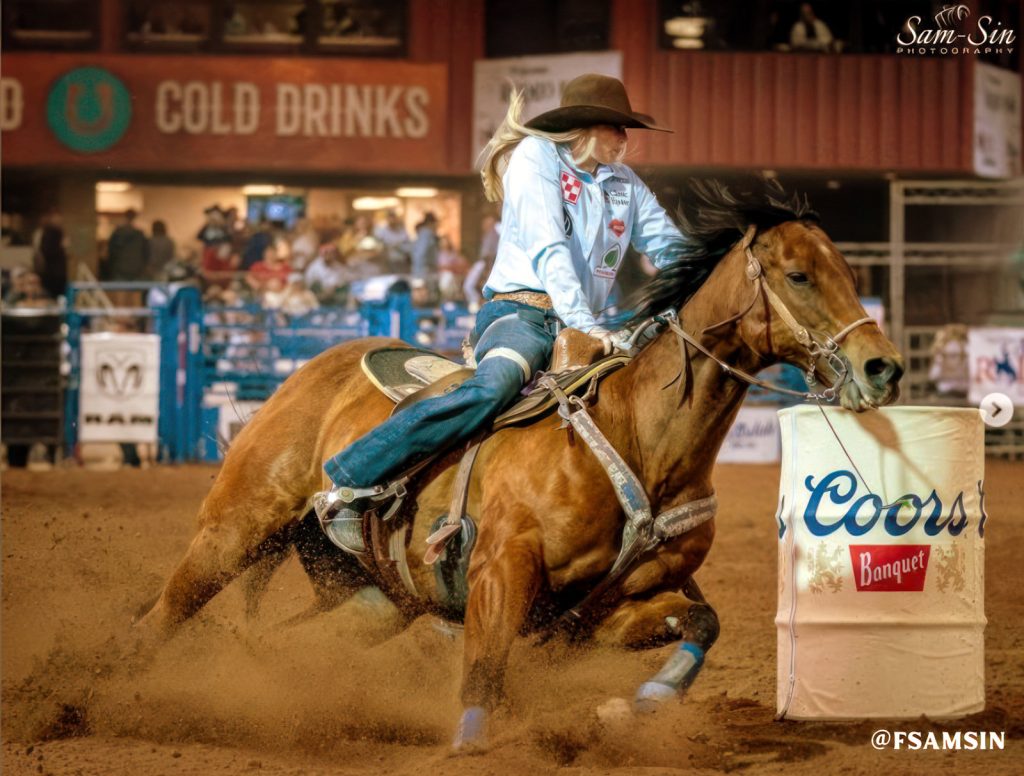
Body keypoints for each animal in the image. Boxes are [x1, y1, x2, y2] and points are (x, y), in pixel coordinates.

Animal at [138, 181, 905, 749]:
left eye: (850, 272)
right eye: (799, 275)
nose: (884, 367)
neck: (641, 441)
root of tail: (310, 370)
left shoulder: (596, 612)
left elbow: (702, 624)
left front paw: (634, 706)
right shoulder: (501, 570)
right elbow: (483, 676)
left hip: (372, 600)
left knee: (280, 643)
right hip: (234, 528)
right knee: (165, 613)